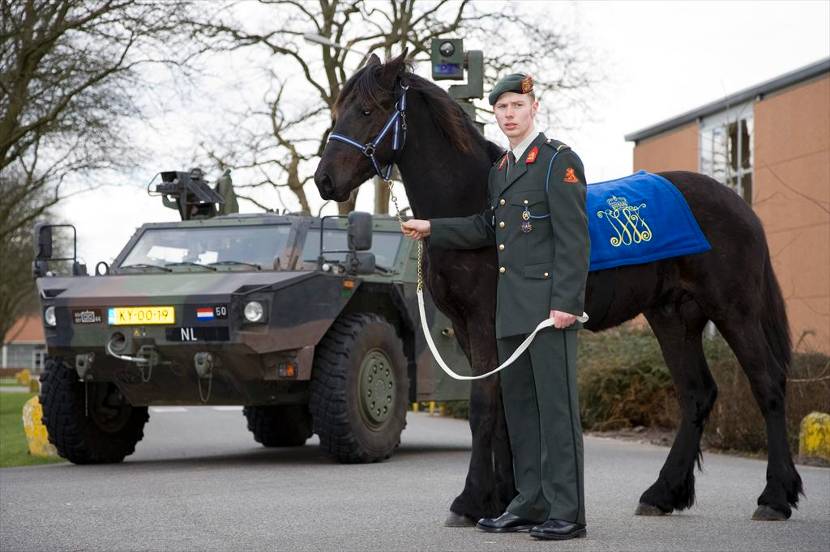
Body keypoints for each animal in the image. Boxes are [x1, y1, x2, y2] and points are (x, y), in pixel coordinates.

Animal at [314, 54, 808, 524]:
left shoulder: (483, 323)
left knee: (768, 384)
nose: (324, 180)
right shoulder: (476, 331)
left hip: (734, 311)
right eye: (338, 110)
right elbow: (505, 411)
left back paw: (775, 497)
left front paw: (471, 500)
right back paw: (663, 494)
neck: (475, 203)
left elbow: (484, 408)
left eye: (367, 110)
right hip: (674, 317)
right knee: (697, 394)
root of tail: (739, 205)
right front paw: (503, 499)